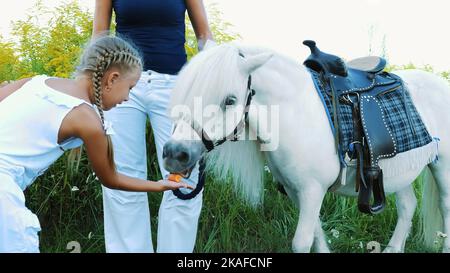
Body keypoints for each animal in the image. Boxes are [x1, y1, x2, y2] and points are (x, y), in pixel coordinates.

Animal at [163, 42, 450, 253]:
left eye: (230, 100)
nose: (175, 154)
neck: (296, 112)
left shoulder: (313, 190)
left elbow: (301, 242)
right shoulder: (296, 190)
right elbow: (316, 236)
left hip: (442, 168)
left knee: (445, 208)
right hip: (397, 171)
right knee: (408, 206)